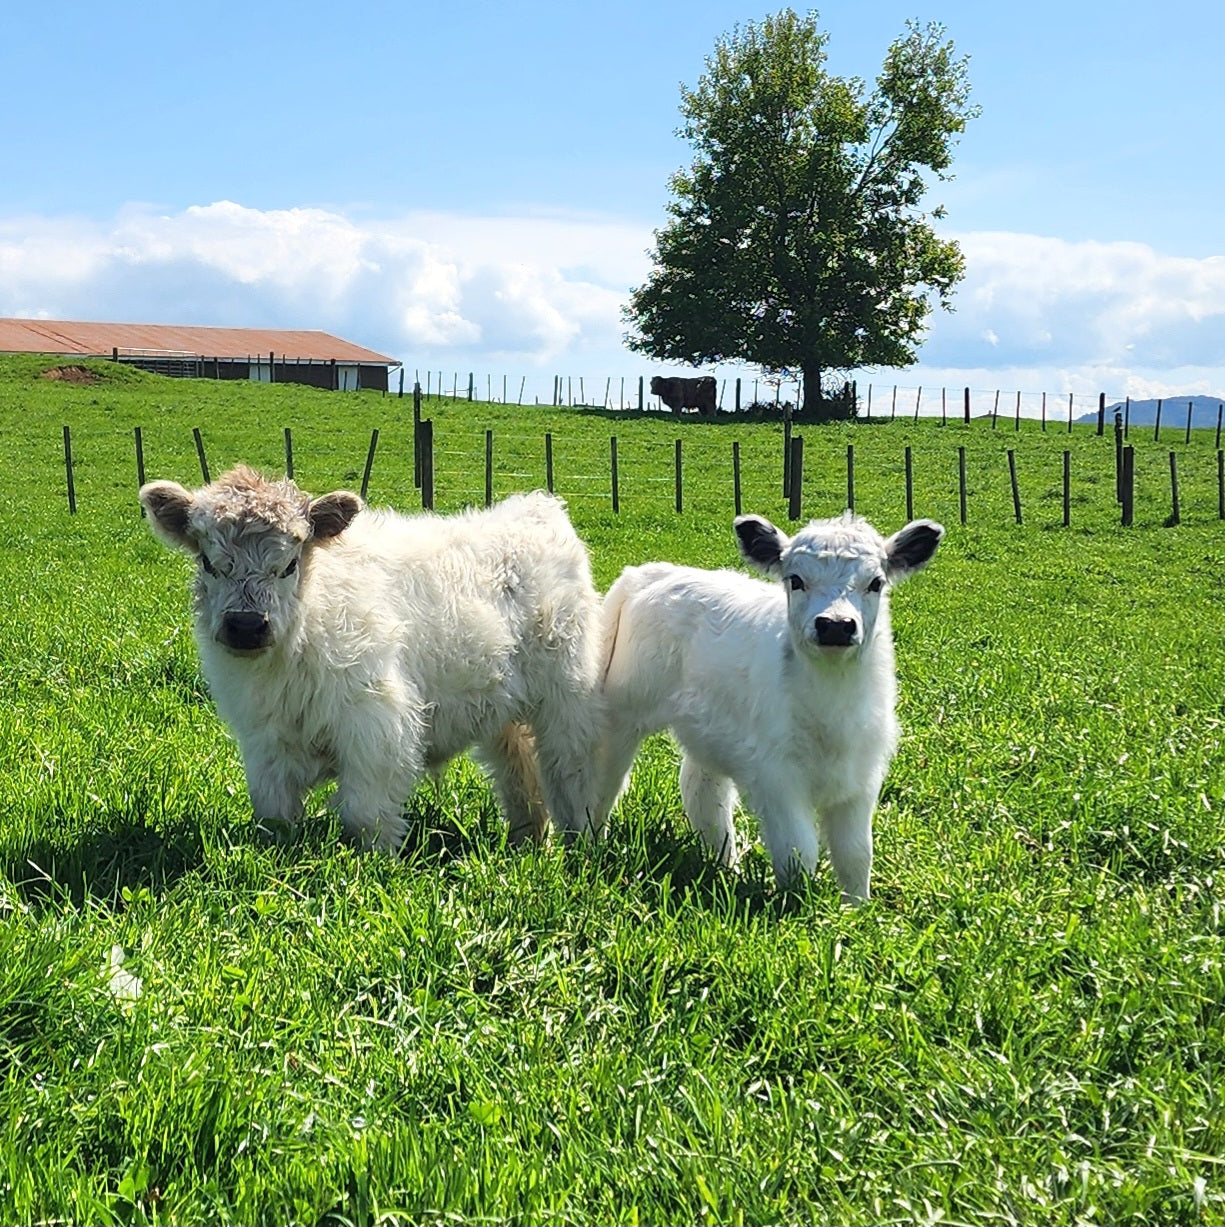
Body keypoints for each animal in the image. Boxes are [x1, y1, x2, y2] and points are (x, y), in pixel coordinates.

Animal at [139, 466, 603, 853]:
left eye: (288, 565)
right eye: (208, 562)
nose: (246, 625)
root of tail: (537, 506)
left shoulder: (377, 725)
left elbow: (365, 813)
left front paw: (375, 865)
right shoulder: (265, 740)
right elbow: (274, 813)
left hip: (567, 698)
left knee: (571, 769)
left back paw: (580, 843)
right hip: (503, 711)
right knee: (520, 774)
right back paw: (529, 842)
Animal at [596, 507, 947, 903]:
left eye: (875, 583)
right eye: (795, 580)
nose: (835, 626)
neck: (832, 706)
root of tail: (652, 572)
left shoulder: (861, 778)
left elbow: (856, 853)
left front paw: (856, 909)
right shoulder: (777, 778)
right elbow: (799, 852)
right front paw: (799, 907)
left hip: (711, 730)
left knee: (702, 790)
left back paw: (725, 867)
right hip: (622, 711)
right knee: (605, 778)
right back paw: (590, 842)